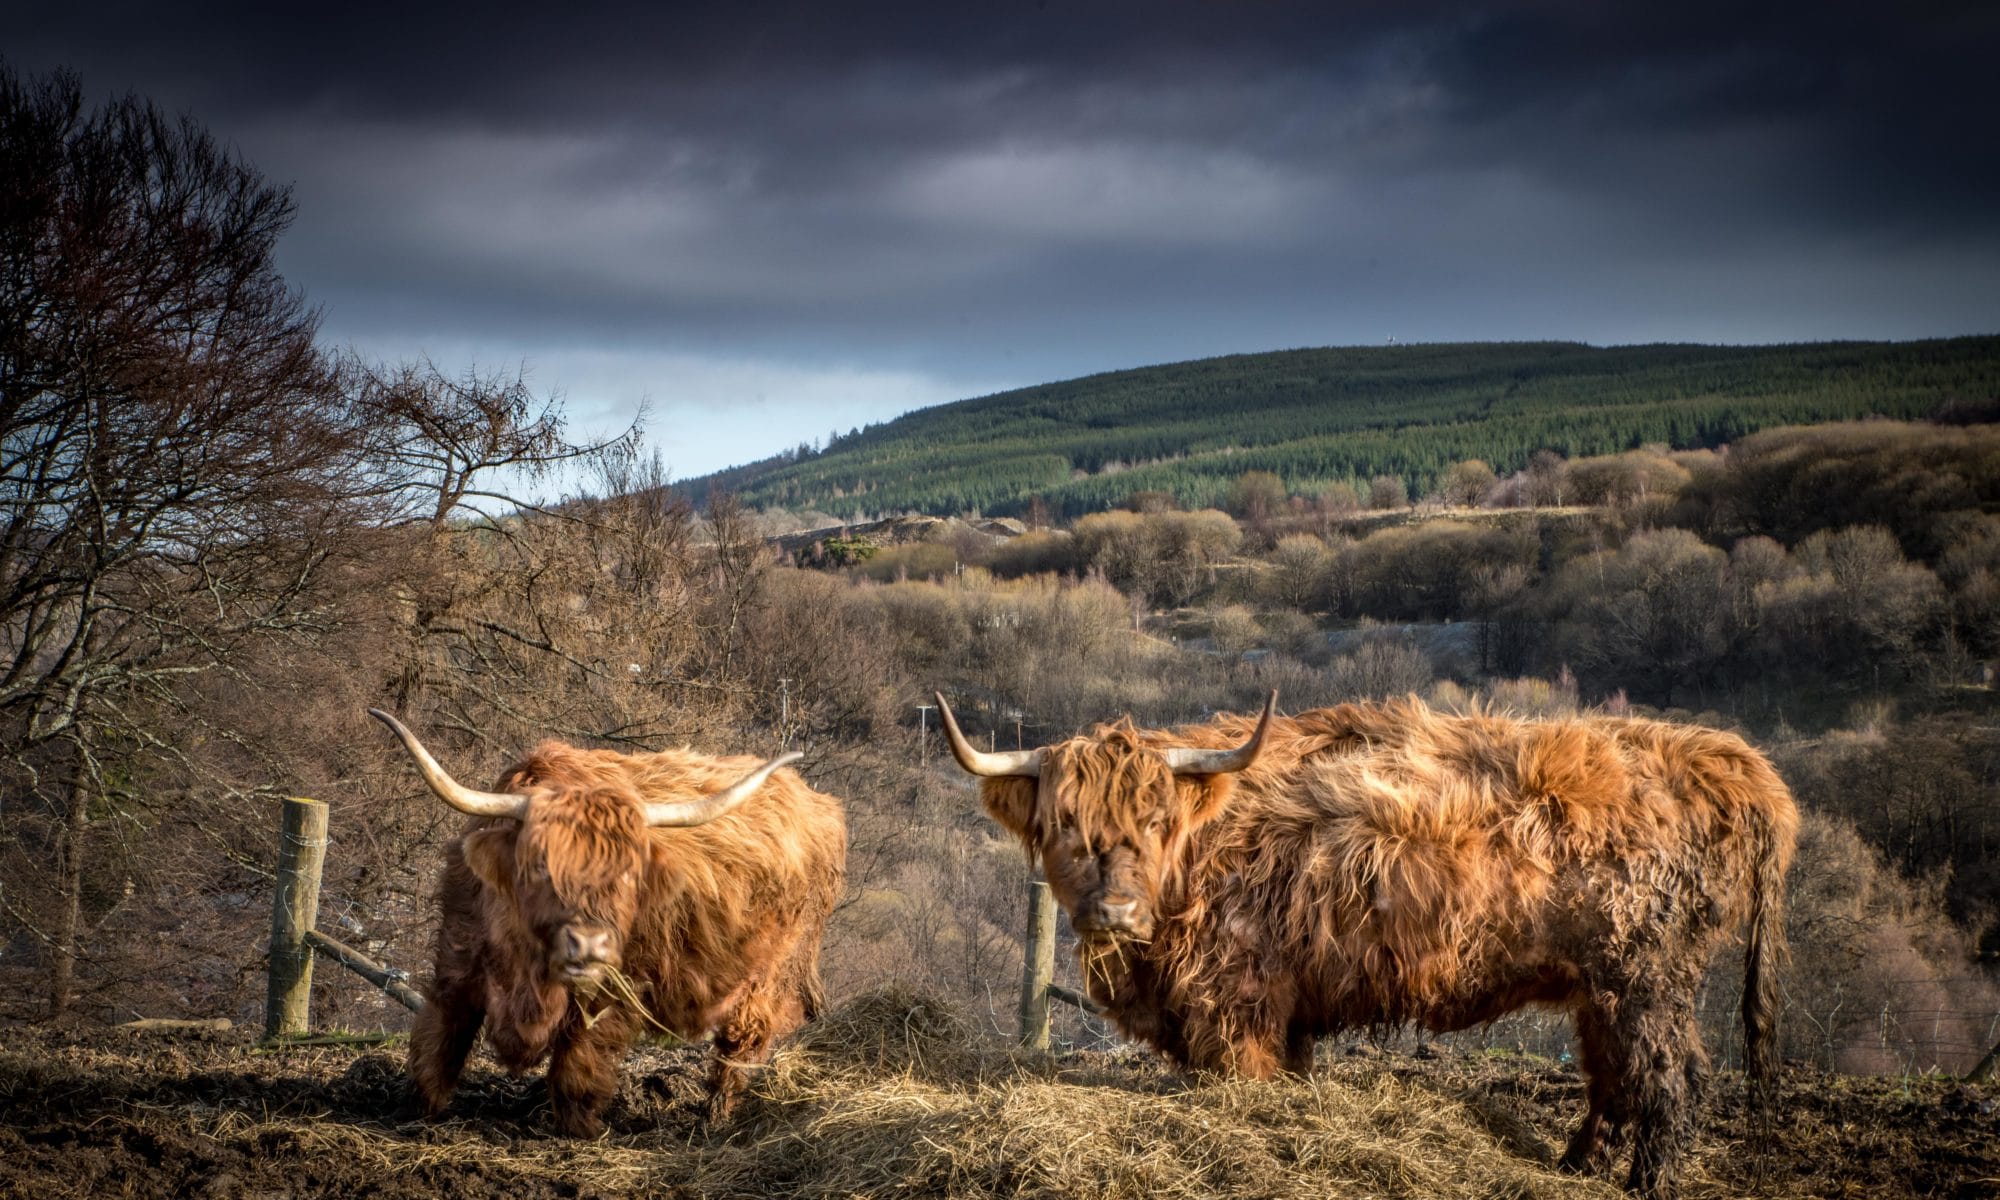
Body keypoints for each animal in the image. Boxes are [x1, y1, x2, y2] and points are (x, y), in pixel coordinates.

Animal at [370, 708, 844, 1136]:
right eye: (541, 866)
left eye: (629, 875)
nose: (590, 944)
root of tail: (820, 804)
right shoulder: (459, 958)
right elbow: (439, 1041)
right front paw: (417, 1115)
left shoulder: (619, 987)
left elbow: (578, 1062)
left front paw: (580, 1131)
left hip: (769, 975)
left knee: (742, 1043)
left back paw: (716, 1120)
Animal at [936, 688, 1800, 1192]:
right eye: (1063, 826)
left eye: (1154, 821)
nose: (1114, 910)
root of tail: (1728, 760)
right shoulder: (1280, 1006)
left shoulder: (1235, 1000)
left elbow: (1245, 1081)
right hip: (1602, 987)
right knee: (1613, 1077)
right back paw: (1574, 1167)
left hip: (1646, 976)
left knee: (1672, 1079)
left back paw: (1641, 1185)